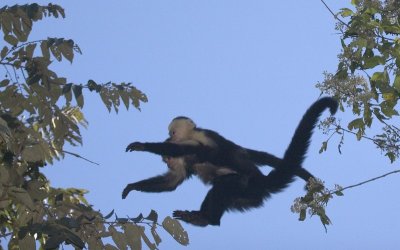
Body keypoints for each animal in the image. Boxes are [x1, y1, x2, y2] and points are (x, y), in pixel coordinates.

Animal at [123, 97, 340, 227]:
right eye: (166, 161)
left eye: (172, 132)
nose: (169, 137)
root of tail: (262, 182)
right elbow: (172, 182)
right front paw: (132, 187)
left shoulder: (200, 139)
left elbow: (196, 151)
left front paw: (142, 145)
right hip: (244, 200)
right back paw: (202, 218)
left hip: (247, 188)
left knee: (224, 183)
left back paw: (208, 219)